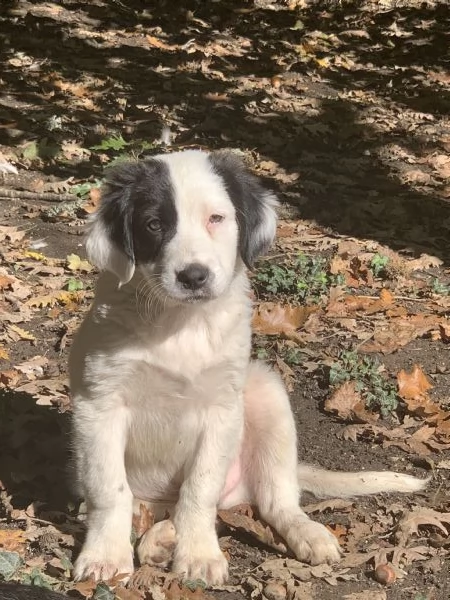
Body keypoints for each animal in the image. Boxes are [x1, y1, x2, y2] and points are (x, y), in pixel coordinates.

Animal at [69, 150, 426, 584]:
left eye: (216, 219)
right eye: (153, 225)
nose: (193, 276)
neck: (179, 324)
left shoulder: (222, 407)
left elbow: (200, 488)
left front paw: (198, 555)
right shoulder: (99, 404)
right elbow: (110, 489)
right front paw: (105, 555)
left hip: (265, 392)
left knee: (274, 500)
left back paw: (302, 533)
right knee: (150, 507)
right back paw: (159, 536)